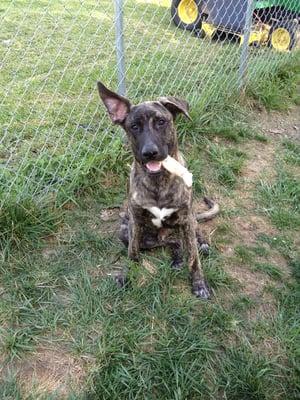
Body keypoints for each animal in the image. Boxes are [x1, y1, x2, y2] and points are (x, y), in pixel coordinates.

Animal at [98, 81, 218, 298]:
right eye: (134, 126)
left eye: (161, 122)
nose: (150, 152)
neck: (158, 180)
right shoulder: (135, 222)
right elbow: (132, 252)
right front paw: (127, 274)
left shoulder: (186, 217)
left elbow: (194, 257)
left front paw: (199, 284)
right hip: (125, 230)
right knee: (173, 242)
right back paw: (177, 258)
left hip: (188, 219)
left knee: (192, 234)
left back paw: (201, 243)